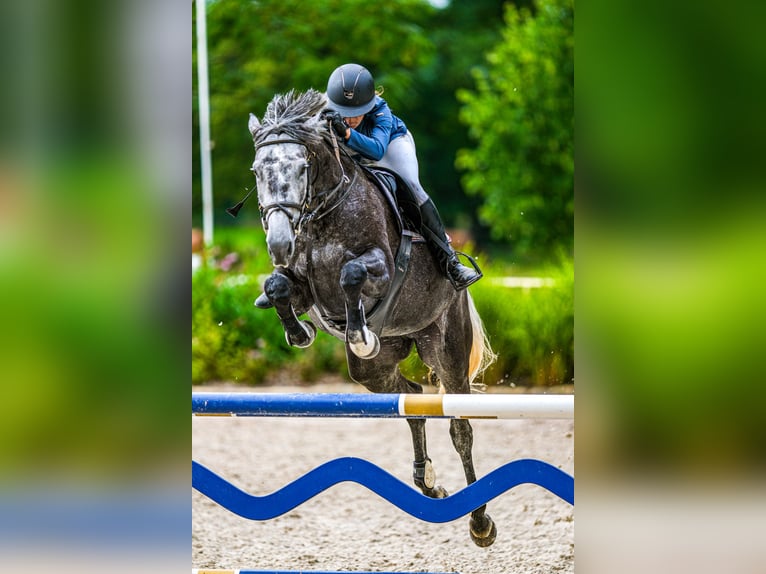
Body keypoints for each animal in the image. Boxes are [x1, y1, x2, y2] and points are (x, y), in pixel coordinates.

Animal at [246, 89, 498, 547]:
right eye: (258, 171)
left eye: (302, 167)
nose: (278, 243)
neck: (324, 212)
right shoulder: (302, 284)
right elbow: (277, 286)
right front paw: (300, 333)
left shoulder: (379, 268)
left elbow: (352, 274)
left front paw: (360, 333)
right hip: (375, 371)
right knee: (411, 397)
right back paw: (428, 481)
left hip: (445, 348)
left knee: (460, 428)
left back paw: (480, 522)